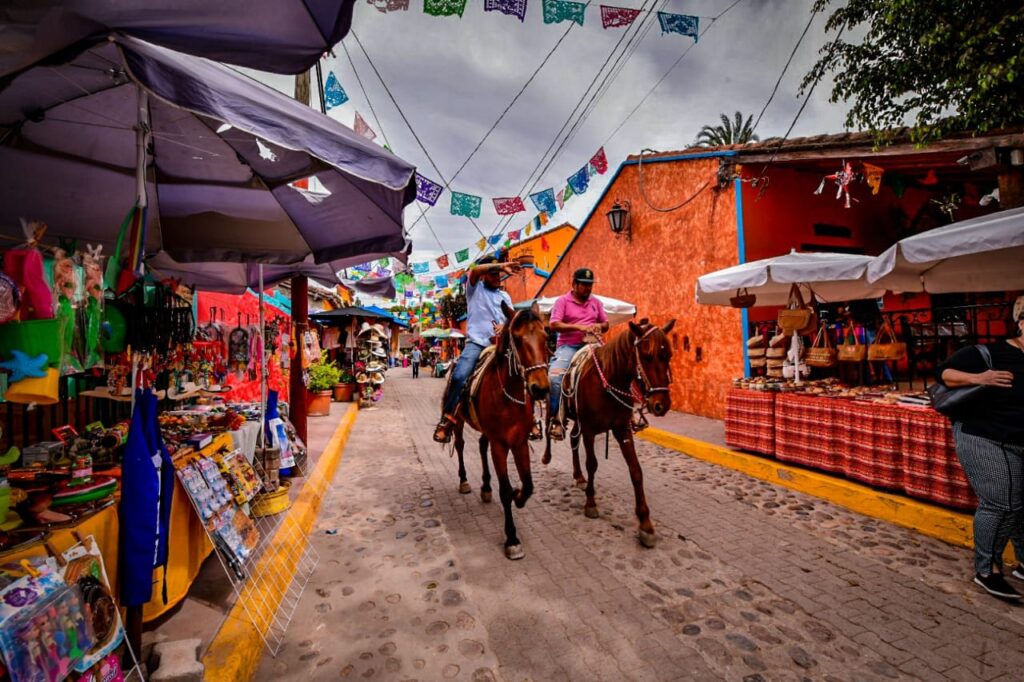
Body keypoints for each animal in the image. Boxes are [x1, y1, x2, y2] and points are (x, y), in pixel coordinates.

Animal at [454, 303, 552, 557]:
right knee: (460, 446)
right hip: (458, 421)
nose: (540, 388)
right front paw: (512, 539)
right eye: (517, 339)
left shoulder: (519, 442)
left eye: (546, 336)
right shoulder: (500, 445)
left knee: (481, 446)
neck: (509, 396)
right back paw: (464, 481)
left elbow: (528, 485)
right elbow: (506, 490)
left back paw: (486, 487)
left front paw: (519, 496)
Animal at [540, 319, 675, 548]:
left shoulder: (622, 429)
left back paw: (578, 476)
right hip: (555, 403)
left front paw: (645, 524)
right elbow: (592, 464)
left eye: (668, 355)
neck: (608, 383)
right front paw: (590, 503)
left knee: (573, 439)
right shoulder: (589, 430)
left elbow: (636, 470)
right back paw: (547, 456)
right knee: (551, 425)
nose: (661, 405)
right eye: (647, 356)